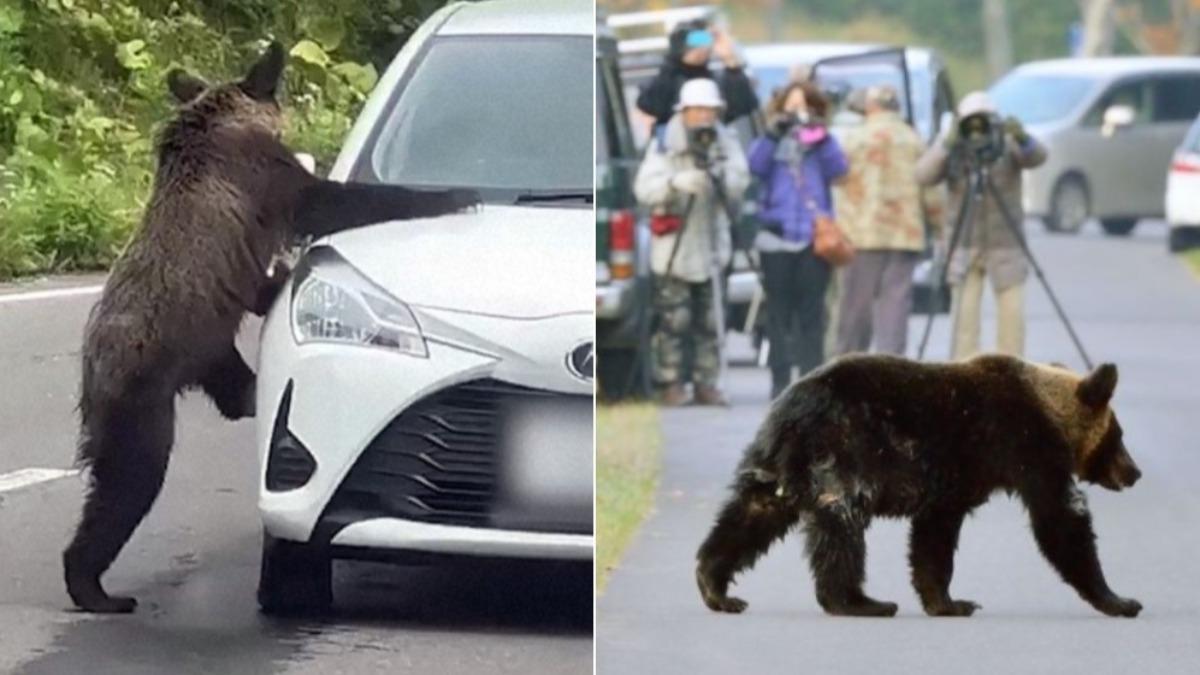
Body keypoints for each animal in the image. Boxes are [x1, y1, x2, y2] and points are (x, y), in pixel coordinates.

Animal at [63, 42, 478, 613]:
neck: (217, 124)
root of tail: (88, 369)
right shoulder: (260, 173)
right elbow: (325, 200)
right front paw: (455, 194)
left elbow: (264, 279)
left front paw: (278, 276)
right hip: (144, 386)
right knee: (128, 481)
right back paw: (96, 587)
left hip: (209, 348)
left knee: (232, 395)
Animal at [695, 353, 1143, 619]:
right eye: (1119, 435)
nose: (1134, 472)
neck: (1048, 408)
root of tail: (788, 410)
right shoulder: (1026, 446)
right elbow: (1060, 518)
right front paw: (1120, 599)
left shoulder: (952, 485)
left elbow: (933, 539)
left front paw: (949, 602)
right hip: (842, 453)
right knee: (842, 528)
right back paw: (861, 601)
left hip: (776, 464)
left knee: (753, 513)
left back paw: (716, 586)